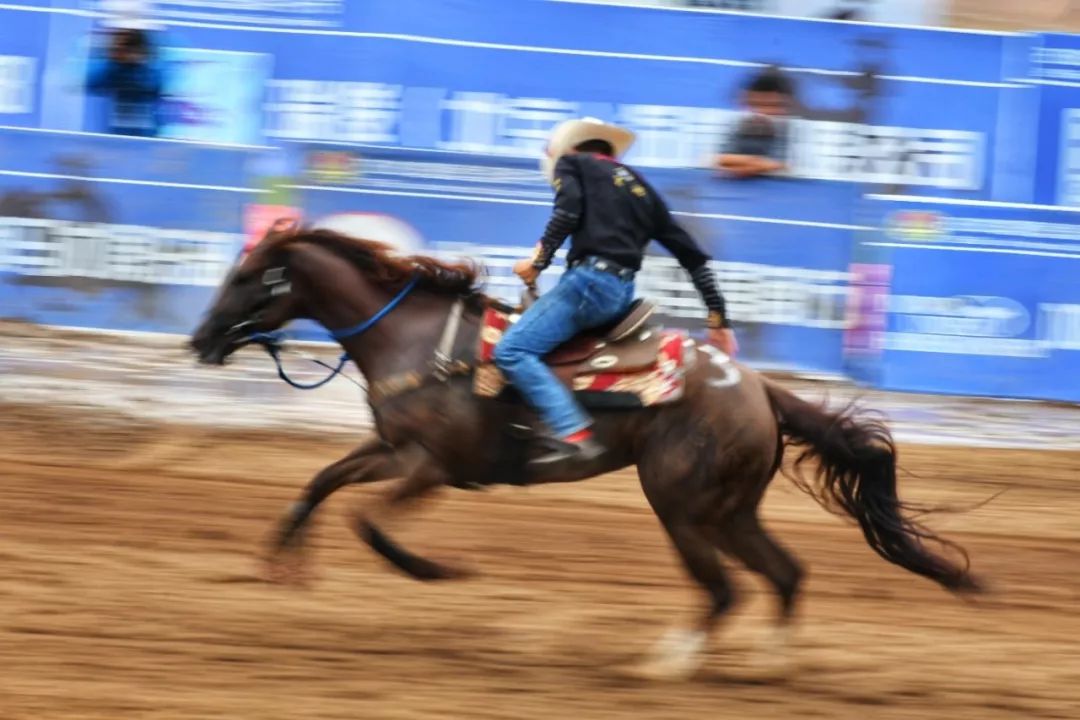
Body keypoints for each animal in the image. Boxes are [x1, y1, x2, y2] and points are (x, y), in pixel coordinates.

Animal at [190, 226, 984, 682]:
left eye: (246, 278)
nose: (199, 341)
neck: (414, 341)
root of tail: (757, 388)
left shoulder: (431, 468)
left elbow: (370, 523)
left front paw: (437, 571)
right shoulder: (391, 450)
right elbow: (323, 481)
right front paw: (282, 559)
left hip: (681, 506)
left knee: (723, 588)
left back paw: (668, 662)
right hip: (728, 509)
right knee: (784, 575)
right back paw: (770, 664)